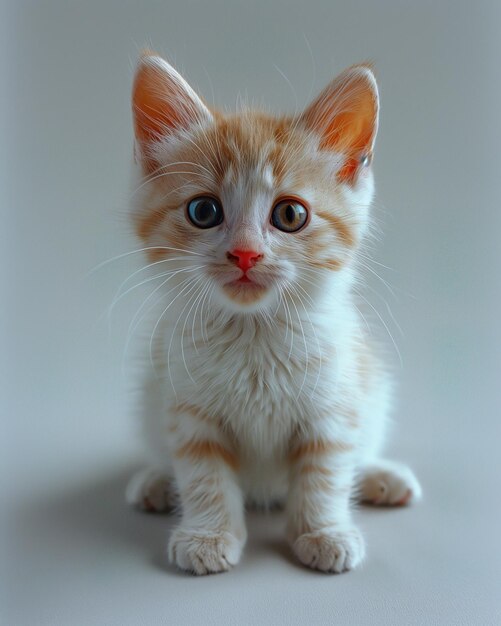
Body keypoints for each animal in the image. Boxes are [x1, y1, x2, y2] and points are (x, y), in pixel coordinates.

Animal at [125, 54, 422, 576]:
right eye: (203, 211)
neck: (253, 335)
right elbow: (203, 473)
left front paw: (323, 532)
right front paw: (208, 535)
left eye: (289, 215)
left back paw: (382, 476)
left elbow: (326, 471)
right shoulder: (187, 407)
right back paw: (156, 481)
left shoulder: (334, 404)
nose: (245, 254)